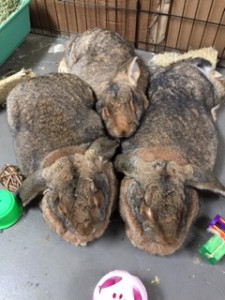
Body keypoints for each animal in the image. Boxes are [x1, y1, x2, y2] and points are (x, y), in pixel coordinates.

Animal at [115, 58, 225, 255]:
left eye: (184, 203)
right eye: (145, 205)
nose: (167, 241)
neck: (164, 155)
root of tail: (187, 67)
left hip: (214, 93)